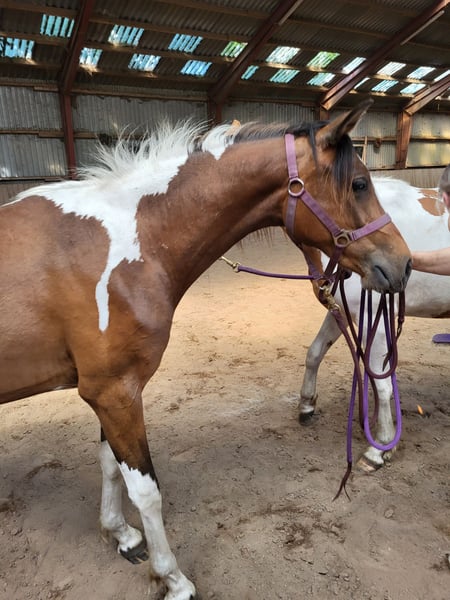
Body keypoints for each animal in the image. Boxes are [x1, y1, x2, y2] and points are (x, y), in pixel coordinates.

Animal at [0, 102, 411, 600]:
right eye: (359, 184)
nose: (403, 264)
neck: (130, 242)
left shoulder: (110, 392)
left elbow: (110, 465)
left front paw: (119, 534)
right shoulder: (114, 392)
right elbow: (146, 490)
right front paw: (171, 577)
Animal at [299, 176, 447, 471]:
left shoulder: (374, 324)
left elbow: (381, 384)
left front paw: (380, 448)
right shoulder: (342, 308)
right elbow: (315, 352)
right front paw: (307, 405)